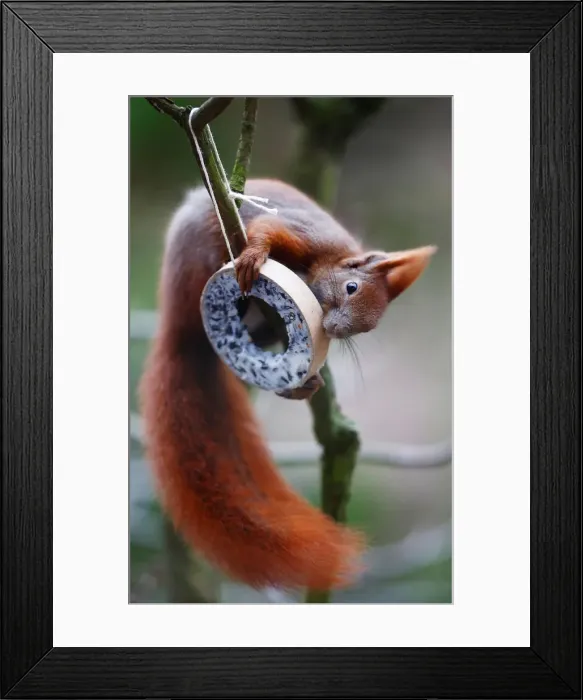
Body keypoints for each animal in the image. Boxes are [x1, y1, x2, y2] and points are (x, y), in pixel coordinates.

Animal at [139, 178, 436, 593]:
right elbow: (269, 229)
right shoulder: (307, 233)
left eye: (368, 328)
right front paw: (253, 256)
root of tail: (181, 327)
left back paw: (296, 387)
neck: (333, 260)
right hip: (191, 258)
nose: (334, 329)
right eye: (351, 287)